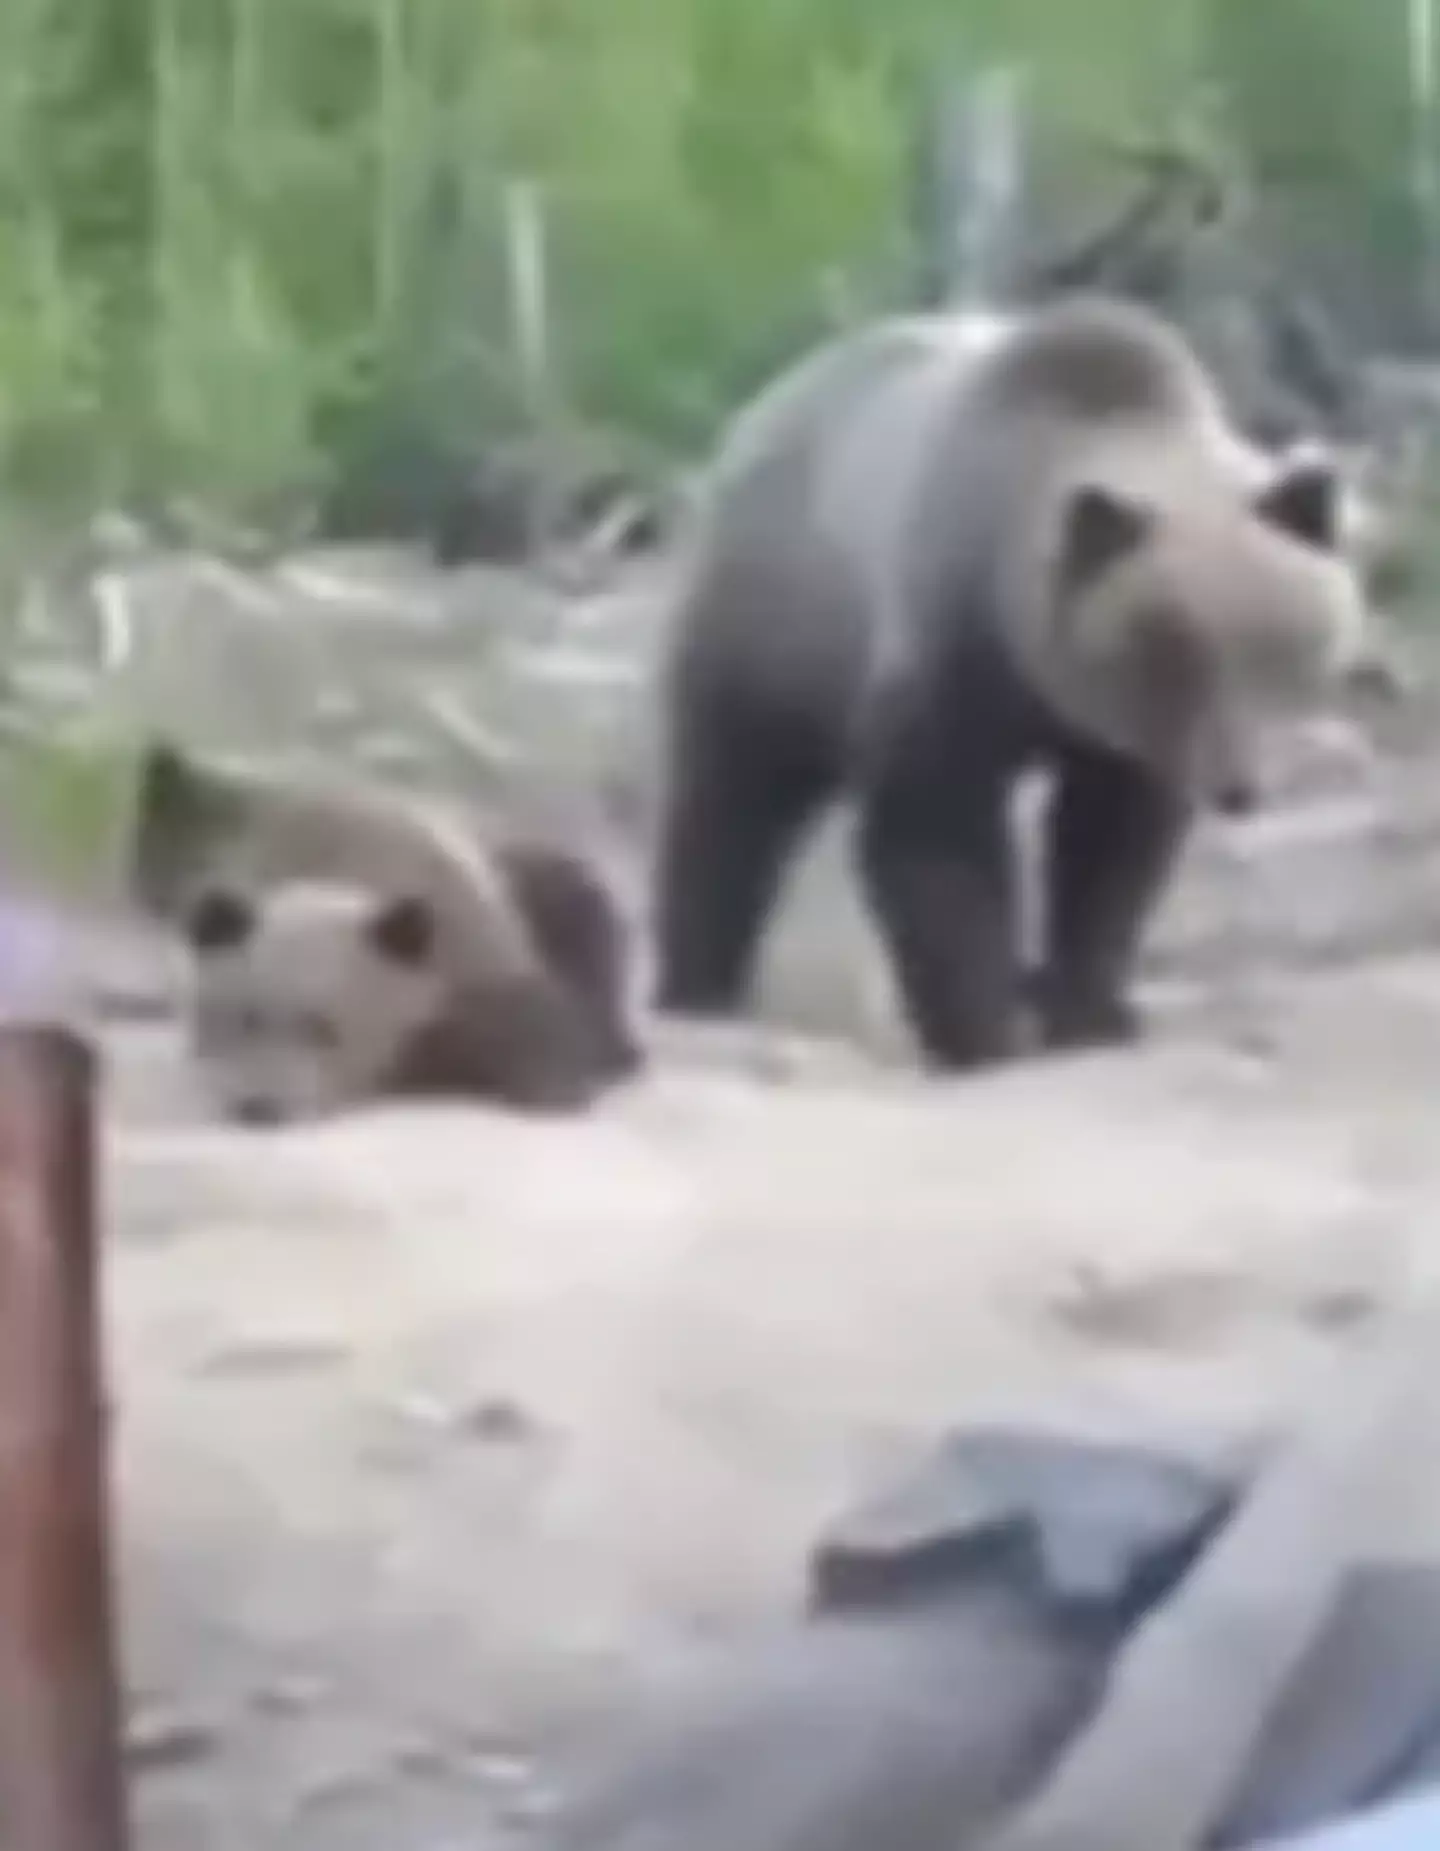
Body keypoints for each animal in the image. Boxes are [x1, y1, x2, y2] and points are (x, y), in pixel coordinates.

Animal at [133, 739, 646, 1112]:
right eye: (244, 1020)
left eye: (325, 1029)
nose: (261, 1107)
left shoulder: (459, 931)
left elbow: (530, 1014)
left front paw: (556, 1086)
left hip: (535, 876)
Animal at [653, 293, 1371, 1071]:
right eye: (1174, 654)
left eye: (1274, 645)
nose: (1238, 788)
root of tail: (763, 406)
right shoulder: (950, 651)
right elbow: (935, 834)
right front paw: (983, 1030)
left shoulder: (1120, 739)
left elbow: (1109, 850)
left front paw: (1091, 1013)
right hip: (775, 632)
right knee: (729, 806)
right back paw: (697, 987)